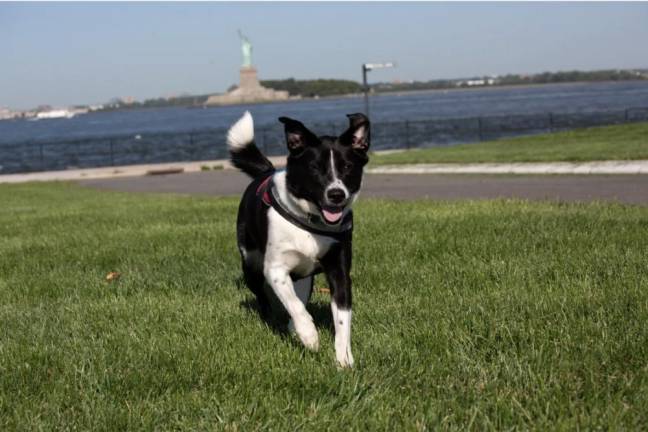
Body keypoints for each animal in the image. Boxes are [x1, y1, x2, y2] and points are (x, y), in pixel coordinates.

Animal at [227, 111, 370, 368]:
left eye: (347, 167)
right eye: (314, 168)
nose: (336, 194)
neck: (310, 220)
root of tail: (265, 172)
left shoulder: (339, 268)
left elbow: (341, 318)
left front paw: (343, 359)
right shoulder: (275, 269)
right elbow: (294, 305)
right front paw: (309, 335)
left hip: (304, 276)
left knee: (300, 293)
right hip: (251, 263)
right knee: (265, 295)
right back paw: (272, 318)